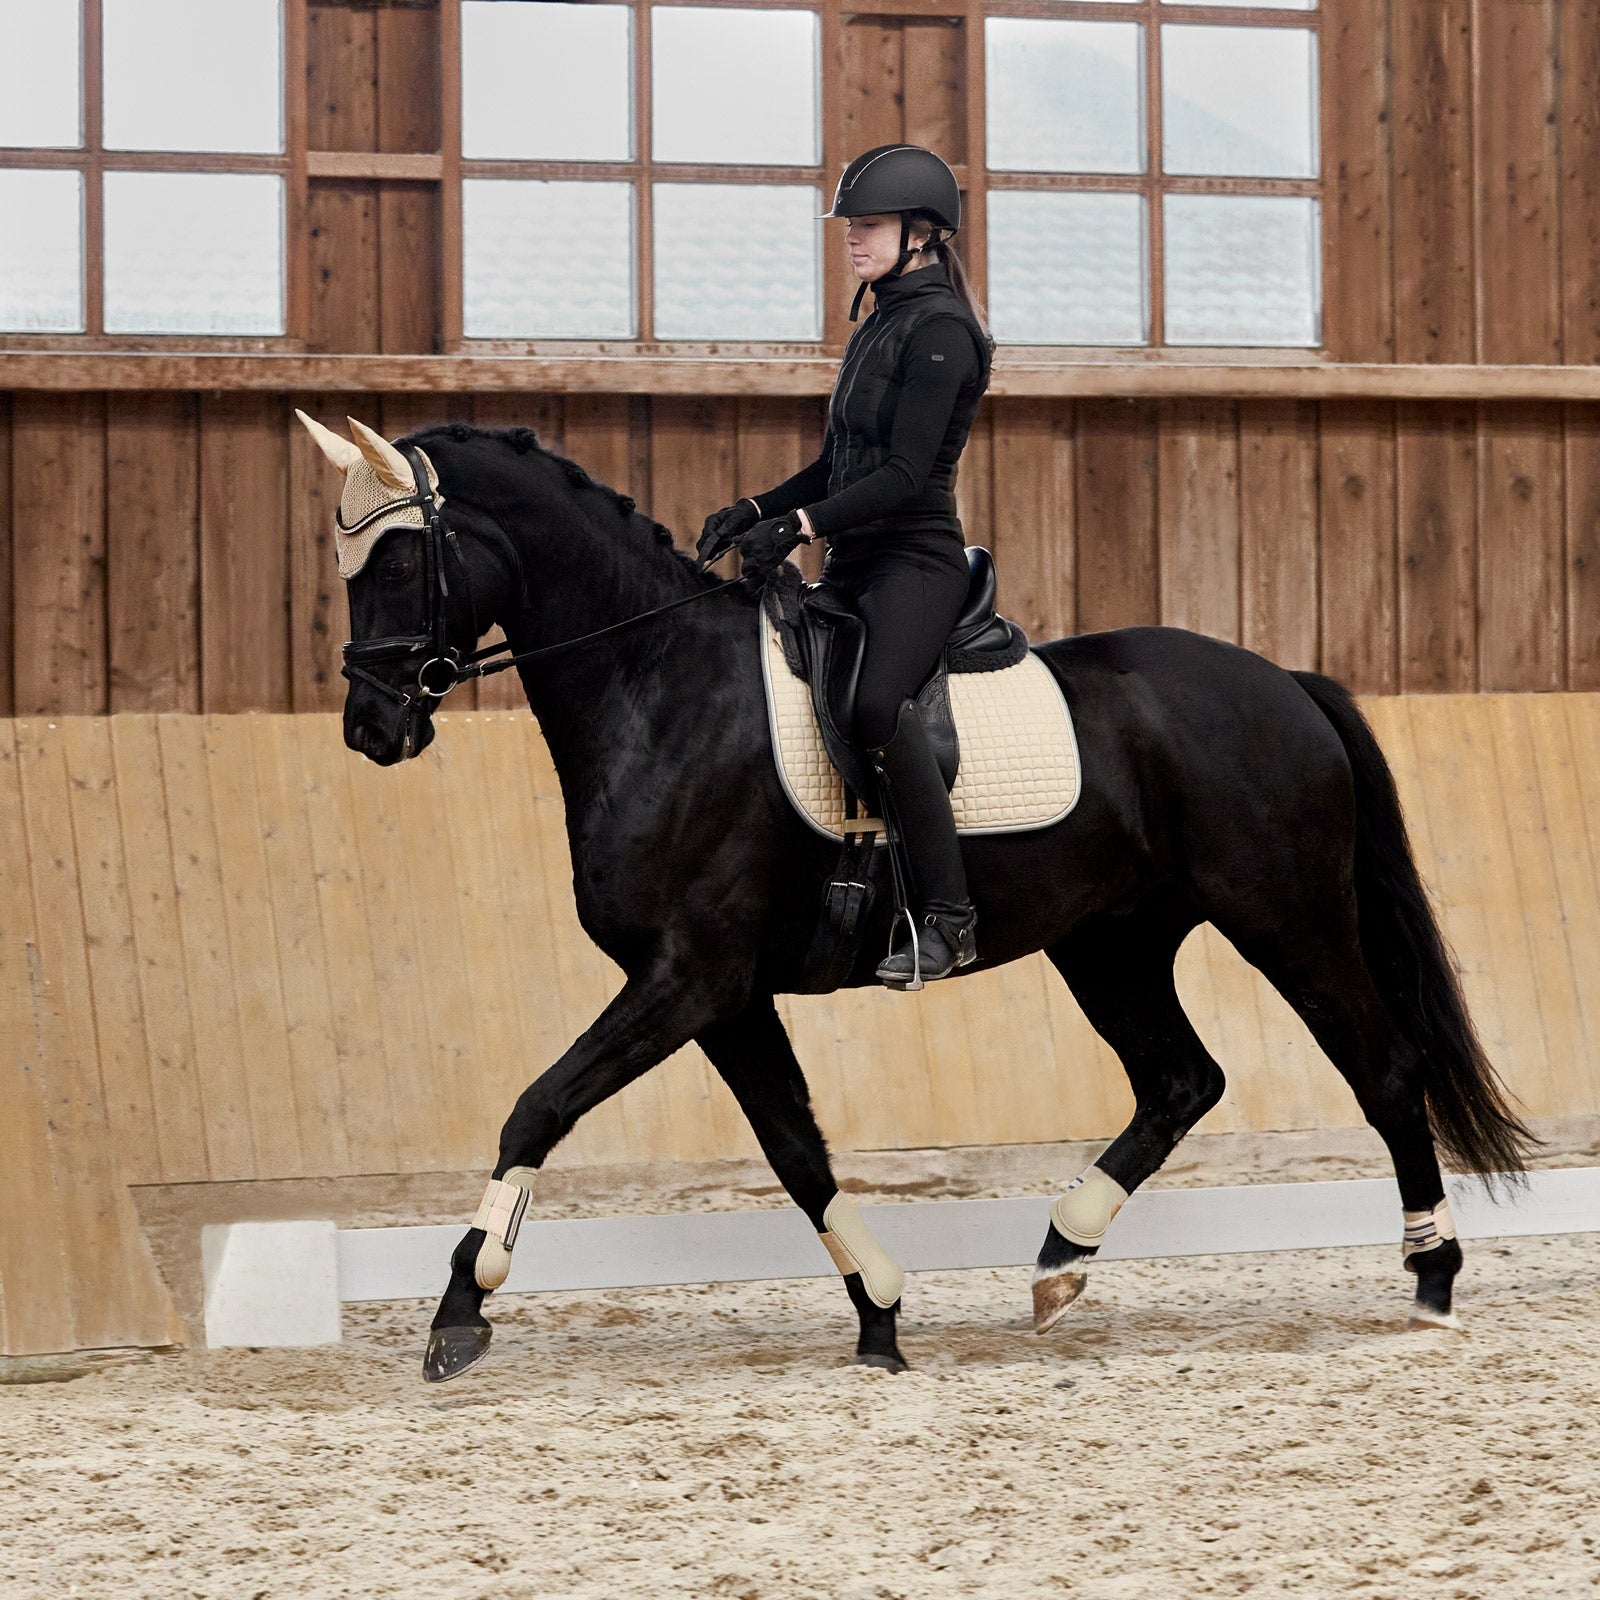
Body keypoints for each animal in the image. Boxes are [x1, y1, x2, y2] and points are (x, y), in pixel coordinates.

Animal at [299, 413, 1535, 1384]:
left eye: (397, 564)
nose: (370, 728)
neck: (659, 690)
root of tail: (1284, 680)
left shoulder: (686, 977)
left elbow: (538, 1106)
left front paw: (462, 1306)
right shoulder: (724, 994)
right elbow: (796, 1151)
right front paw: (881, 1314)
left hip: (1286, 917)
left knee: (1382, 1070)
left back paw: (1430, 1279)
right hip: (1111, 944)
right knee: (1181, 1079)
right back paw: (1060, 1259)